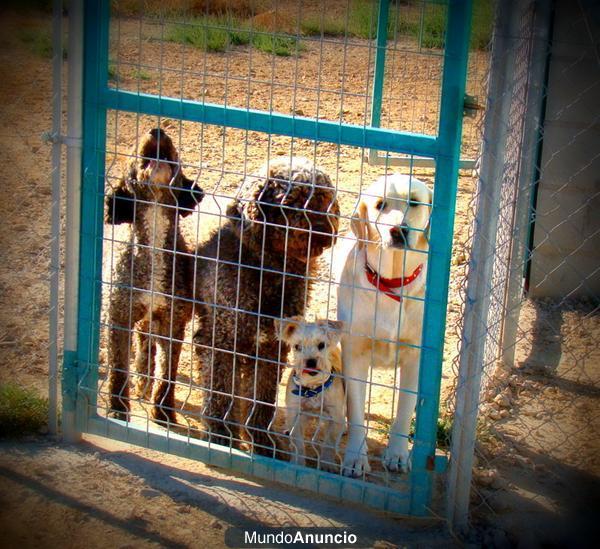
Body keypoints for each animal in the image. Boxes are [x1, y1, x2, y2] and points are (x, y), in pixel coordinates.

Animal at [105, 128, 204, 424]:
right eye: (133, 149)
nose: (158, 130)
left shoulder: (173, 321)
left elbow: (167, 373)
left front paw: (163, 411)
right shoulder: (119, 317)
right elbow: (118, 369)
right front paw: (117, 409)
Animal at [274, 316, 344, 470]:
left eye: (322, 345)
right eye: (297, 347)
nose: (310, 361)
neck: (313, 388)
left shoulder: (334, 415)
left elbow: (329, 443)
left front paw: (327, 464)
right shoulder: (296, 414)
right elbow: (297, 442)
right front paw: (297, 462)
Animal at [338, 172, 432, 476]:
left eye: (414, 202)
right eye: (380, 205)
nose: (398, 231)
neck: (391, 284)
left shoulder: (415, 359)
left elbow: (404, 410)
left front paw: (398, 453)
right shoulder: (354, 355)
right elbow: (356, 412)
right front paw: (355, 456)